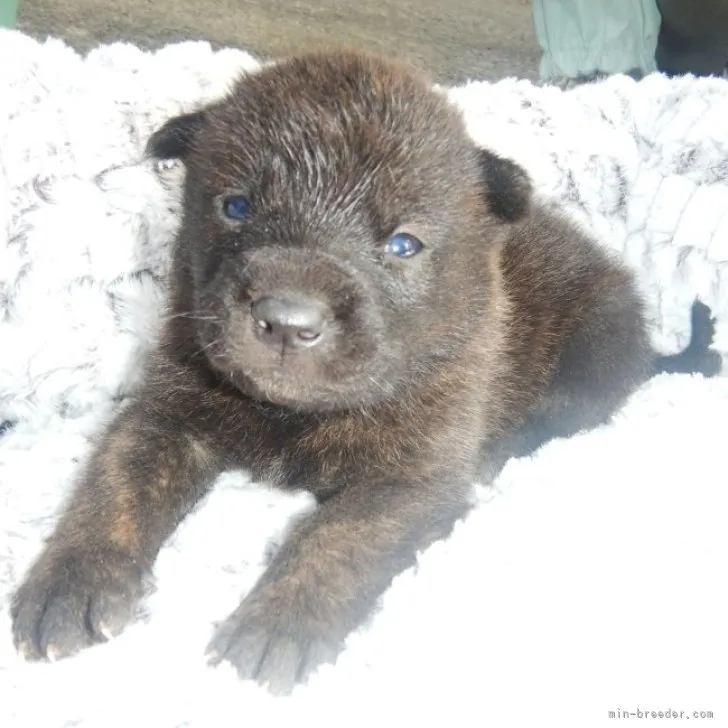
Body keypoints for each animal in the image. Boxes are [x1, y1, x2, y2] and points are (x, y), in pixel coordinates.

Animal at [11, 48, 724, 692]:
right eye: (236, 207)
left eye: (402, 244)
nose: (288, 319)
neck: (294, 415)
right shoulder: (166, 412)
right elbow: (115, 486)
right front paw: (67, 584)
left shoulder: (411, 478)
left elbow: (337, 536)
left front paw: (277, 627)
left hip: (597, 341)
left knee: (570, 412)